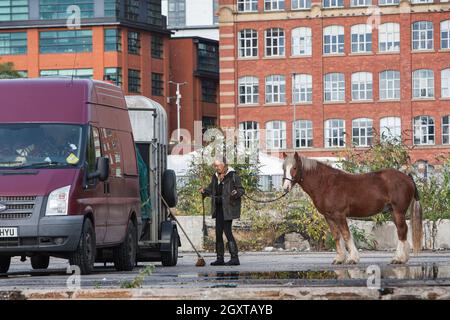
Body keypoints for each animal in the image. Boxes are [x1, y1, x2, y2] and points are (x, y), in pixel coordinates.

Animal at [284, 152, 424, 264]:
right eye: (283, 168)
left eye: (295, 167)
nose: (285, 187)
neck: (326, 183)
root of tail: (407, 177)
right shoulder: (329, 217)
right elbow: (336, 236)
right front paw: (339, 259)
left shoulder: (339, 215)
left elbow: (346, 235)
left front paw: (353, 258)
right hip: (393, 212)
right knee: (402, 231)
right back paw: (401, 257)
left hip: (398, 211)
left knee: (402, 231)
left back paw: (399, 259)